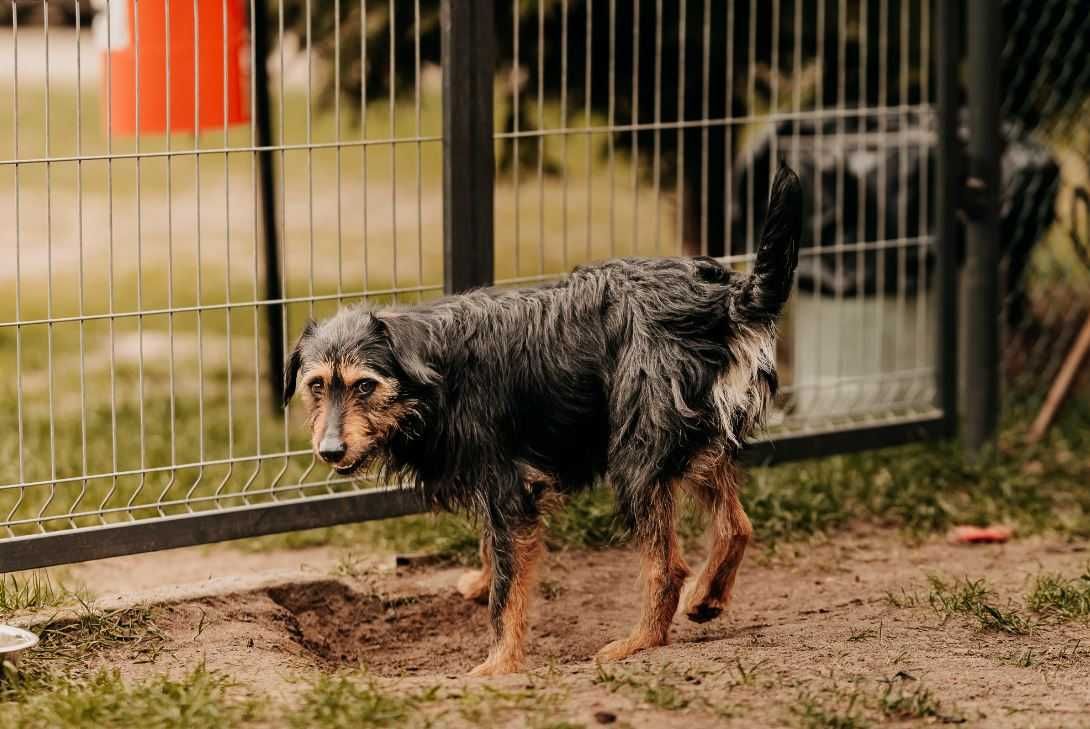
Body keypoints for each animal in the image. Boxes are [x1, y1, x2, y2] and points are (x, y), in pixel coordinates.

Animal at [285, 162, 806, 675]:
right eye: (316, 386)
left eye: (365, 386)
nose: (329, 450)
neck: (434, 374)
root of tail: (723, 301)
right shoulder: (498, 488)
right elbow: (495, 552)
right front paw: (481, 582)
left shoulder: (508, 485)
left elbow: (507, 592)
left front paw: (499, 663)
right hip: (694, 441)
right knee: (737, 525)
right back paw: (707, 596)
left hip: (636, 454)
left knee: (667, 567)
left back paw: (640, 641)